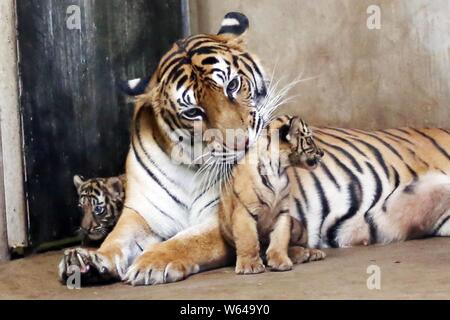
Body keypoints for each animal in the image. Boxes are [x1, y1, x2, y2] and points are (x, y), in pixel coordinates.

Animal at [58, 12, 450, 286]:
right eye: (193, 112)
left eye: (232, 85)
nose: (242, 142)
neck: (186, 165)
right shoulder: (139, 216)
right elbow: (115, 242)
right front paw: (86, 261)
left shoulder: (221, 218)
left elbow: (185, 242)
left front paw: (151, 263)